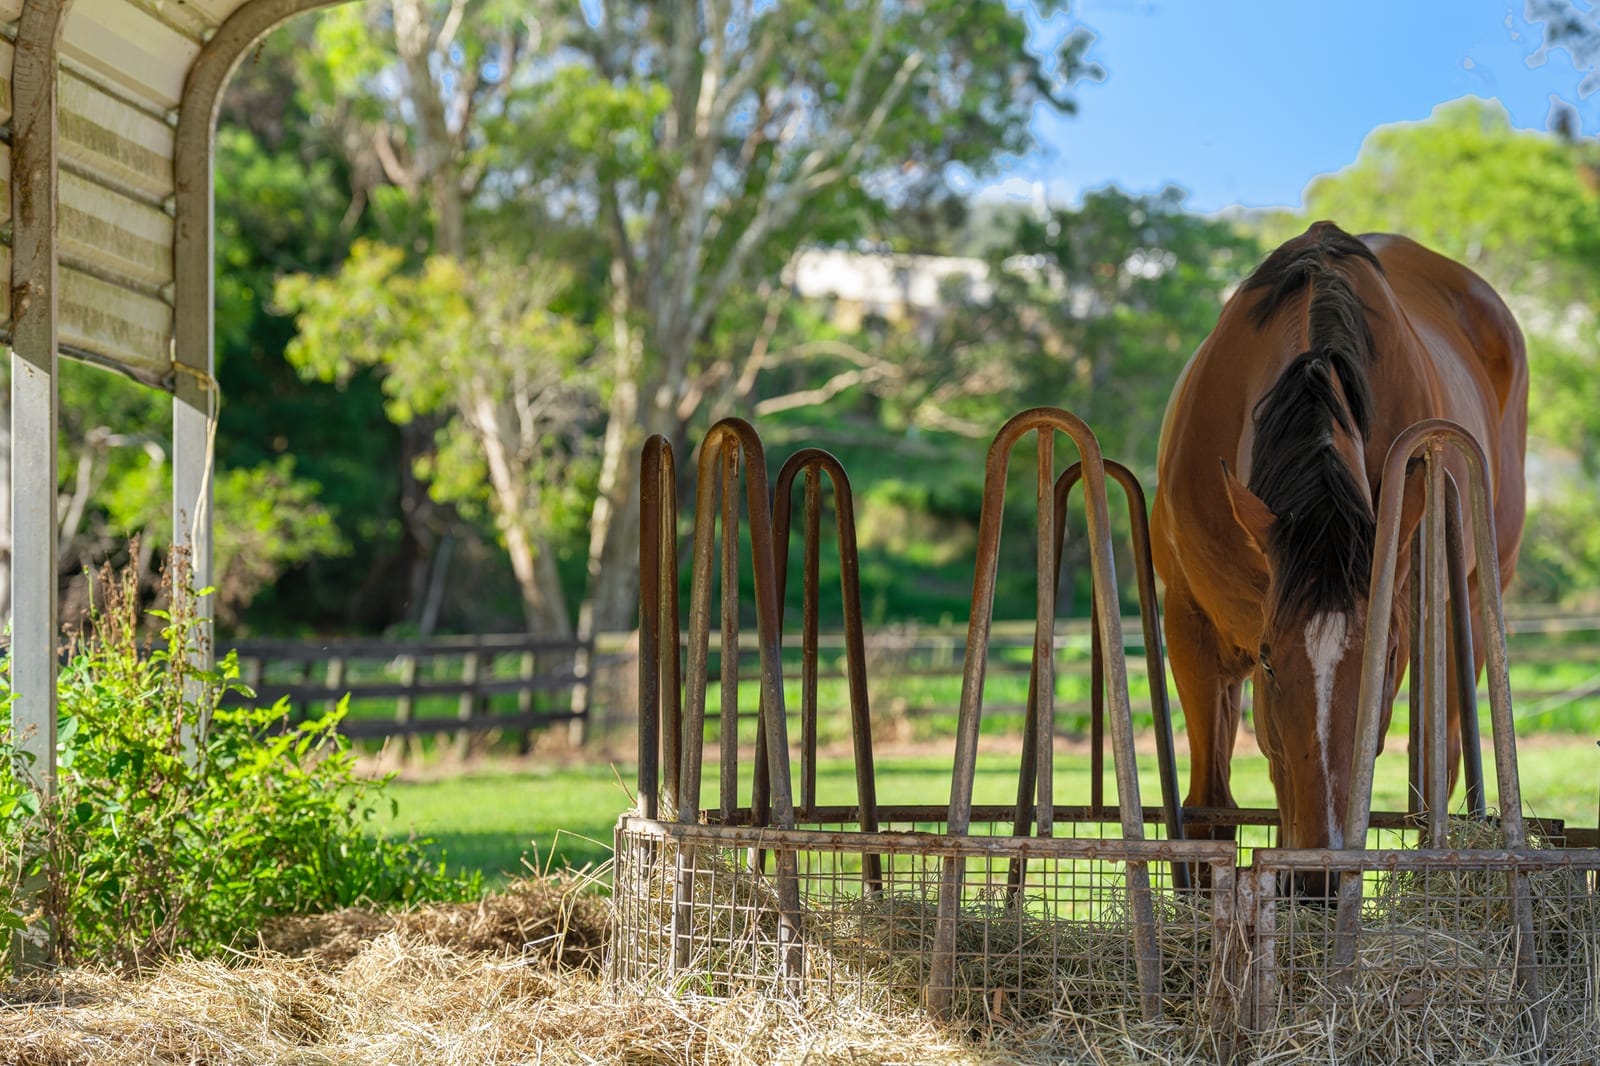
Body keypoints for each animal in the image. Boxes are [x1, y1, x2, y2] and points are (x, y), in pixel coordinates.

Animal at [1150, 222, 1527, 891]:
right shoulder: (1192, 625)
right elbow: (1209, 809)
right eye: (1269, 662)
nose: (1317, 881)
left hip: (1476, 599)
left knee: (1444, 759)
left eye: (1382, 665)